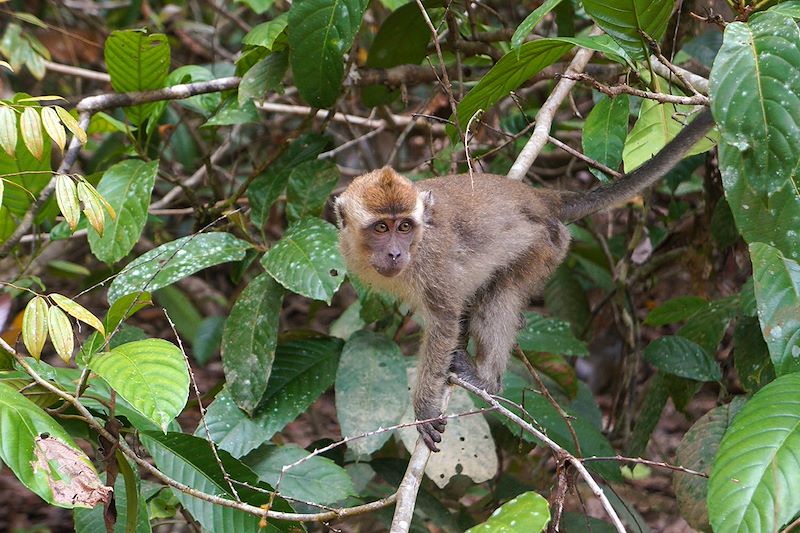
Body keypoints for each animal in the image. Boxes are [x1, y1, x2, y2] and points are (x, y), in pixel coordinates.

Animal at [334, 108, 715, 451]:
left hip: (547, 244)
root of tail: (542, 199)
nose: (395, 253)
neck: (417, 245)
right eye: (381, 228)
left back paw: (487, 380)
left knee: (500, 295)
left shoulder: (433, 262)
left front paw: (425, 407)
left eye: (404, 227)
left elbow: (444, 321)